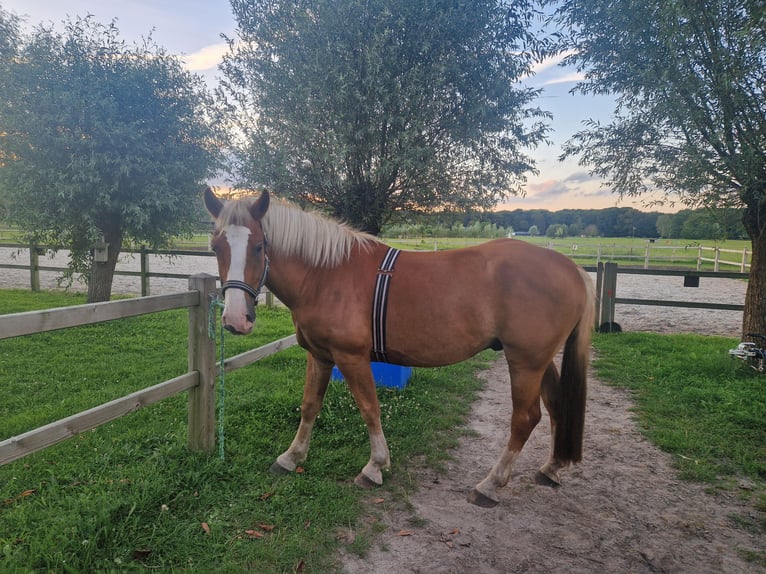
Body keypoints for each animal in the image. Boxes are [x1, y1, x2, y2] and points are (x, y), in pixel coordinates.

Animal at [202, 189, 592, 508]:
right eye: (216, 247)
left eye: (259, 246)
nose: (236, 319)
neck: (325, 274)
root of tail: (572, 268)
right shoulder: (321, 356)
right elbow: (310, 405)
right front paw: (292, 457)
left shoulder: (351, 357)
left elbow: (370, 408)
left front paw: (374, 467)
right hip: (539, 360)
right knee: (555, 405)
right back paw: (551, 467)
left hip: (525, 362)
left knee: (525, 418)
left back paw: (490, 485)